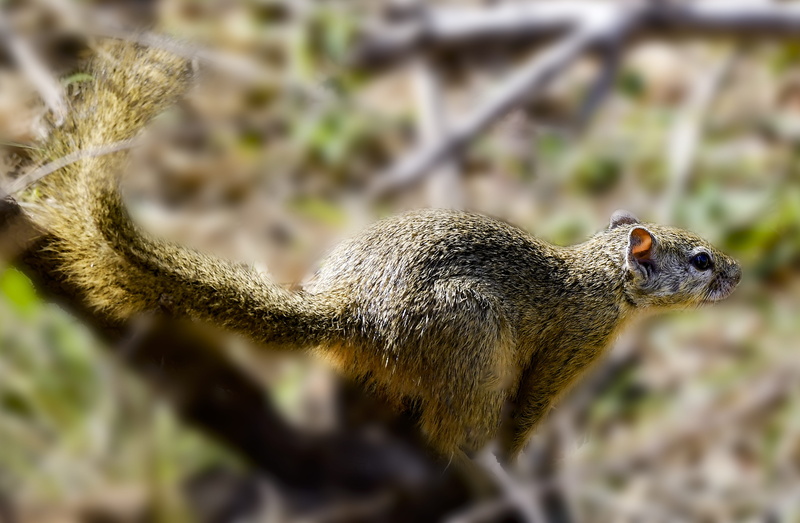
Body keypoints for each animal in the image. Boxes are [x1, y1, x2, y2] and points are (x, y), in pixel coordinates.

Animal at [23, 43, 741, 468]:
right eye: (700, 259)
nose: (738, 272)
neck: (599, 276)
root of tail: (352, 309)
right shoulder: (573, 343)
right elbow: (530, 411)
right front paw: (519, 458)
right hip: (473, 343)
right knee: (452, 432)